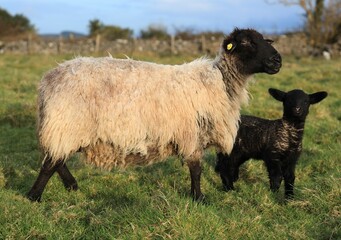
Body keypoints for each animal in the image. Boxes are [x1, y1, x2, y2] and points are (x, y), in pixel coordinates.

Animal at [27, 27, 282, 202]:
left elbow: (196, 168)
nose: (277, 60)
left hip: (64, 127)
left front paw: (197, 196)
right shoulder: (191, 133)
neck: (220, 81)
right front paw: (199, 198)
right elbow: (196, 169)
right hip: (66, 123)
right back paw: (34, 196)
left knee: (57, 158)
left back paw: (71, 186)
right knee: (51, 163)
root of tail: (48, 80)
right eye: (247, 42)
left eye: (265, 40)